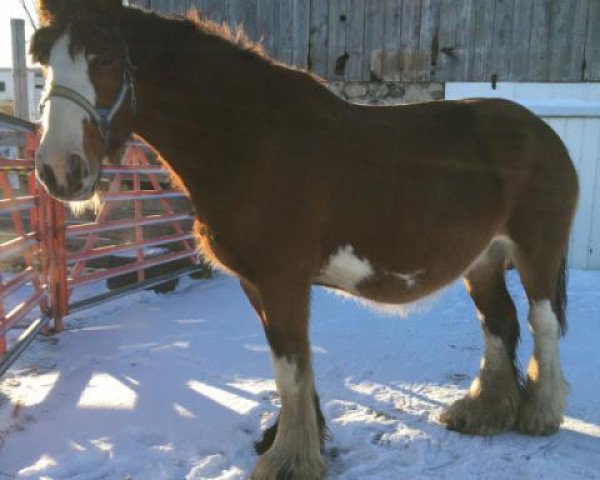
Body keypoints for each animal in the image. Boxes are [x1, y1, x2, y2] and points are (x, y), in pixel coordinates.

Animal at [30, 1, 580, 478]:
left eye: (105, 57)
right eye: (42, 58)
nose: (59, 169)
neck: (248, 139)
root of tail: (544, 134)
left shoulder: (282, 279)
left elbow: (290, 363)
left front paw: (288, 460)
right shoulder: (257, 282)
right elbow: (288, 362)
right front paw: (291, 439)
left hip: (536, 253)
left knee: (542, 322)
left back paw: (541, 414)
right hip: (482, 260)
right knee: (498, 323)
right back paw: (483, 411)